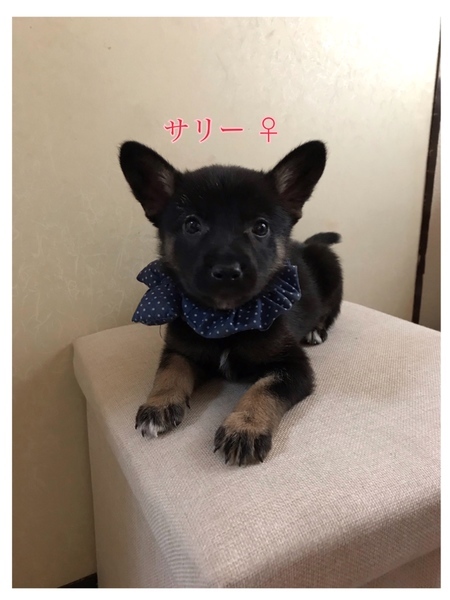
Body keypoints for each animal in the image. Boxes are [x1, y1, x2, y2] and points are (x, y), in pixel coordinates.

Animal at [119, 140, 343, 466]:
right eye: (192, 225)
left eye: (261, 227)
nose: (226, 271)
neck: (225, 319)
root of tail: (305, 244)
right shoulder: (181, 348)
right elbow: (169, 372)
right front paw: (158, 404)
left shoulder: (293, 366)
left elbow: (264, 389)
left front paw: (245, 427)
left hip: (330, 264)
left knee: (331, 310)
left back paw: (317, 330)